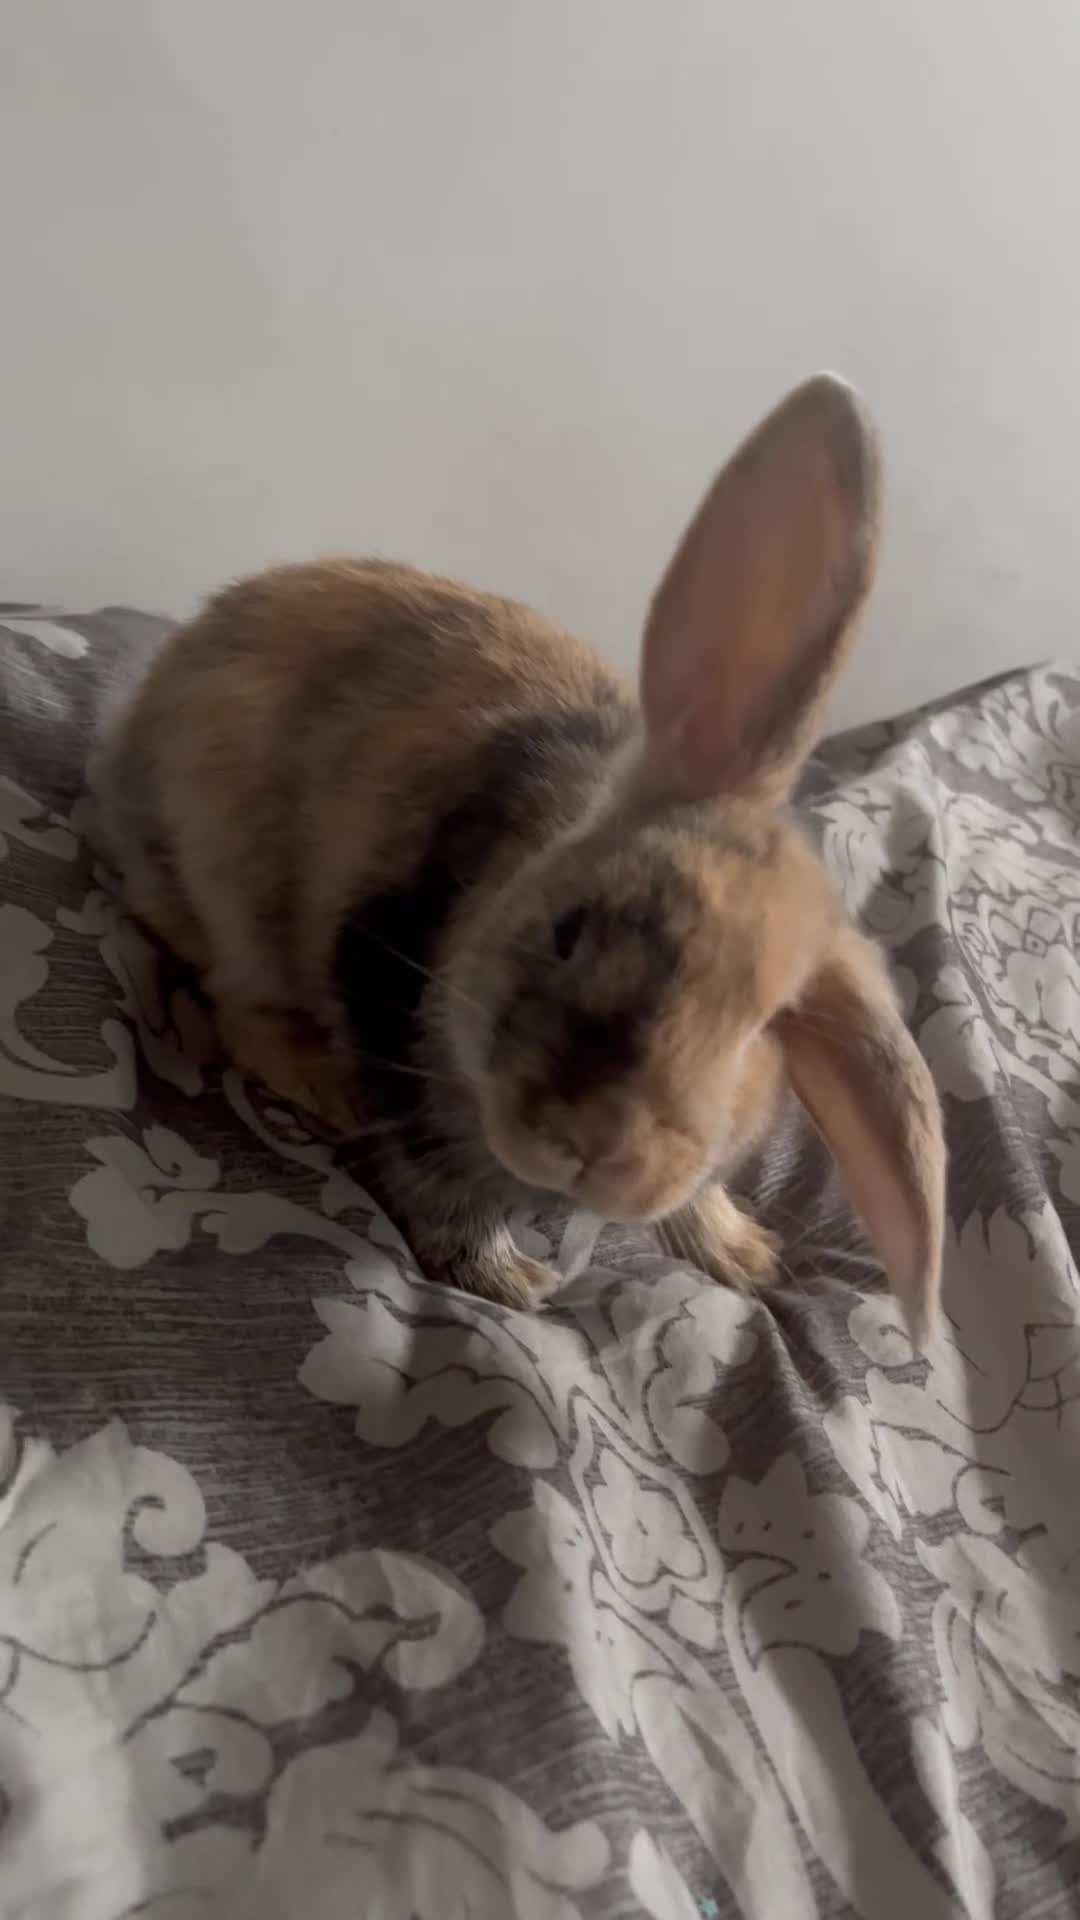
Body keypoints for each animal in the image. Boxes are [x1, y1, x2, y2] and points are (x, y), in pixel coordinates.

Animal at [92, 374, 945, 1330]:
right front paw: (512, 1286)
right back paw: (324, 1085)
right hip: (230, 889)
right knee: (234, 1010)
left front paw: (748, 1258)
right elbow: (442, 1193)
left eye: (764, 1030)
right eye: (569, 931)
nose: (596, 1141)